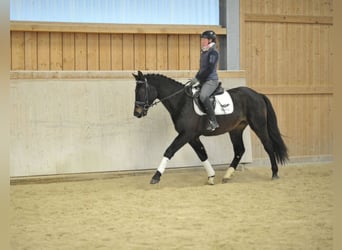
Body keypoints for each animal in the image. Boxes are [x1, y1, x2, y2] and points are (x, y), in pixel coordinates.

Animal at [132, 70, 288, 184]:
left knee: (268, 146)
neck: (182, 102)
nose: (137, 113)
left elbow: (169, 151)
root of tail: (258, 94)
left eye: (141, 91)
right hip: (236, 130)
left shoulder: (186, 134)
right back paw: (227, 175)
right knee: (239, 150)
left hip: (258, 125)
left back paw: (274, 173)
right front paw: (211, 176)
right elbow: (202, 154)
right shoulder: (192, 137)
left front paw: (156, 177)